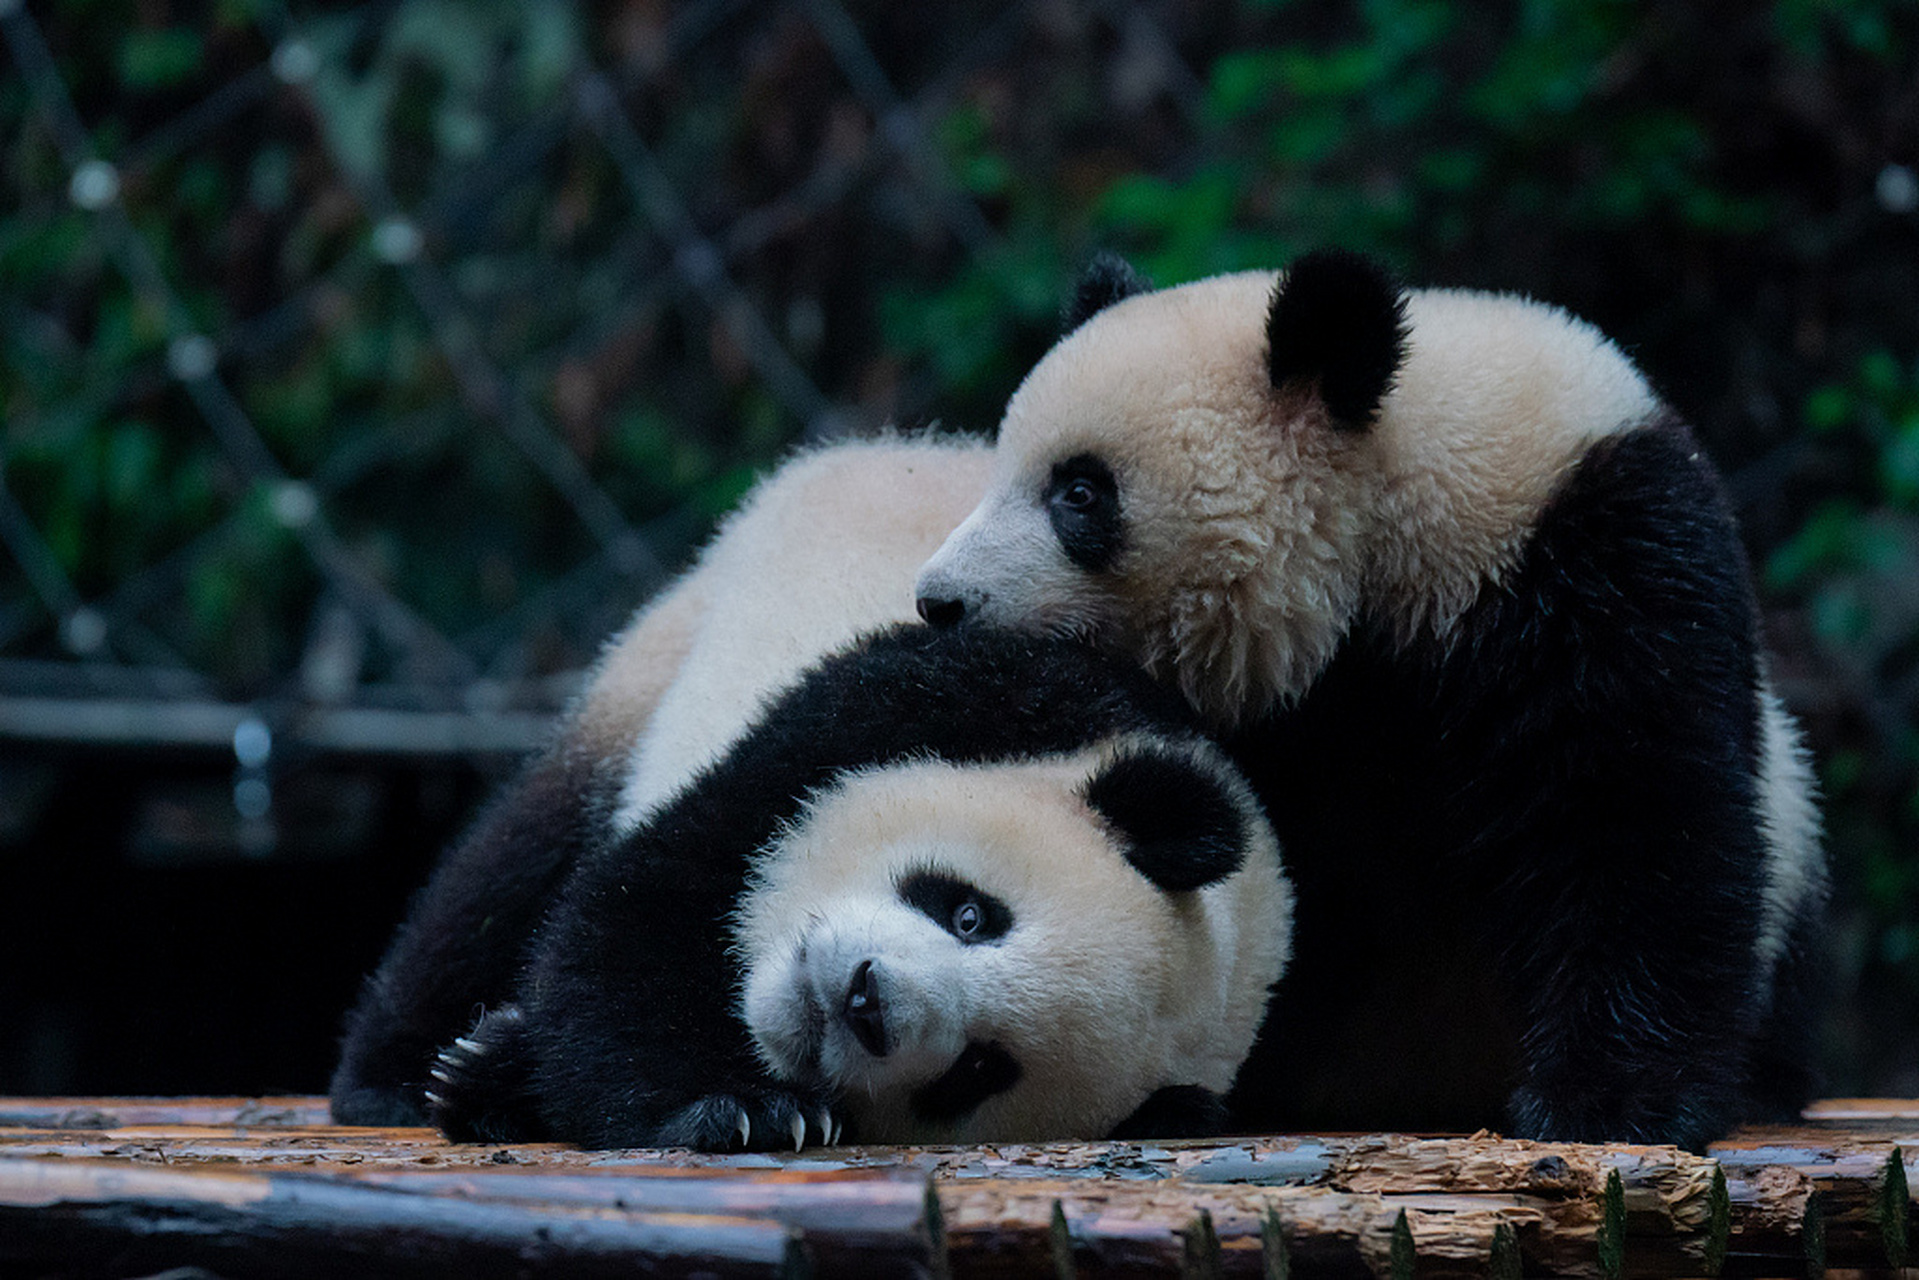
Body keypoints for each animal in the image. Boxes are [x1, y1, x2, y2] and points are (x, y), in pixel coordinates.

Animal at [330, 437, 1289, 1151]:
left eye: (979, 1070)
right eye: (970, 914)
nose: (864, 999)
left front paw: (506, 1071)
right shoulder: (963, 697)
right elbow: (642, 903)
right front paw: (737, 1109)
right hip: (662, 650)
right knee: (509, 867)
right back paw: (391, 1079)